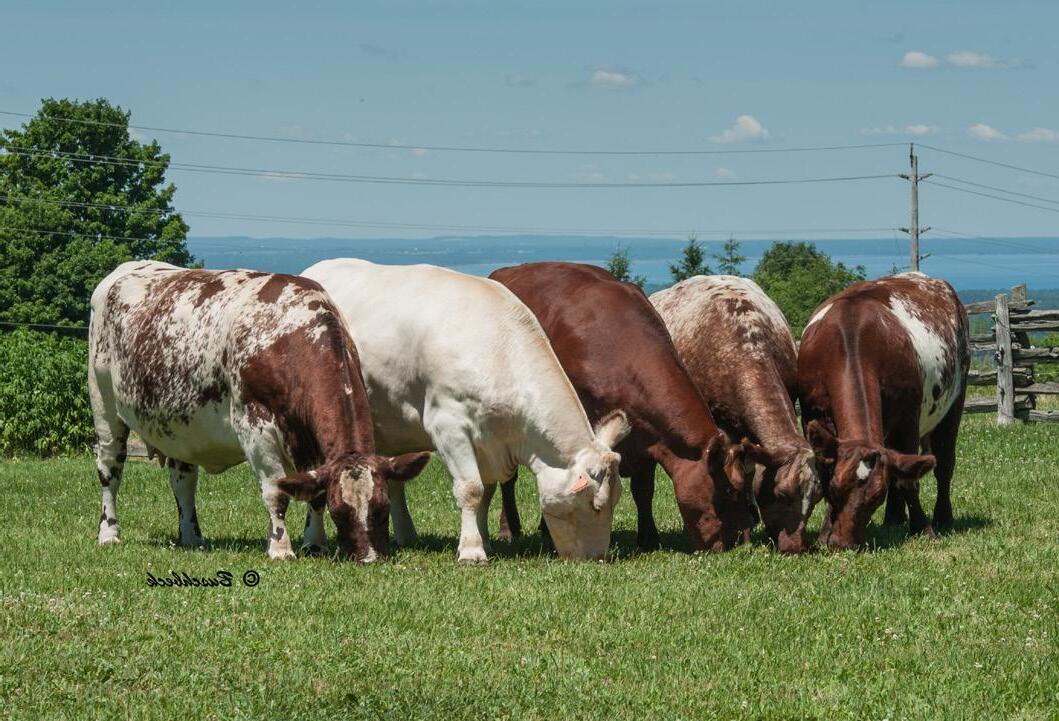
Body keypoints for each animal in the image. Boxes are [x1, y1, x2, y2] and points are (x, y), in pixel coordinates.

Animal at [88, 261, 430, 561]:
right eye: (340, 512)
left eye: (383, 507)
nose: (371, 558)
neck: (286, 336)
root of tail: (126, 268)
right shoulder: (255, 427)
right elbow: (275, 492)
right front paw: (280, 549)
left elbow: (313, 492)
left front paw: (314, 544)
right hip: (105, 408)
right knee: (109, 471)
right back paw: (109, 534)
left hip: (180, 428)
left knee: (183, 480)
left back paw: (192, 537)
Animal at [301, 259, 631, 563]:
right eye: (596, 505)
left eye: (616, 502)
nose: (596, 558)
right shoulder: (448, 427)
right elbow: (471, 489)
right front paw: (472, 551)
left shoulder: (489, 444)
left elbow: (486, 494)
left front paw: (483, 540)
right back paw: (313, 541)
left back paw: (407, 535)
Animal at [491, 262, 764, 552]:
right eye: (728, 490)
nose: (739, 542)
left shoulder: (650, 439)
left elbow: (643, 490)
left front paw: (648, 538)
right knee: (509, 479)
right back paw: (509, 528)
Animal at [797, 272, 969, 549]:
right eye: (836, 488)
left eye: (876, 497)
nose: (843, 543)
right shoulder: (812, 415)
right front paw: (823, 535)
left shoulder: (907, 419)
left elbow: (908, 480)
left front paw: (922, 527)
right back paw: (894, 518)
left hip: (955, 401)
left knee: (943, 463)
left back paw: (943, 517)